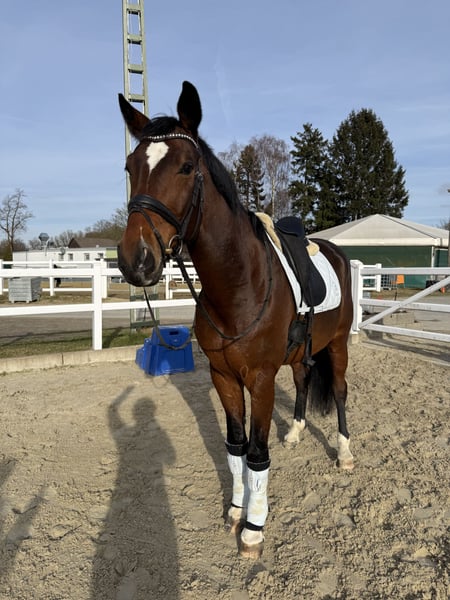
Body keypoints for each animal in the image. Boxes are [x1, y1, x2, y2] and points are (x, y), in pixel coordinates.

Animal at [117, 81, 354, 559]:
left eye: (187, 167)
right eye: (130, 167)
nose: (136, 260)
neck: (239, 283)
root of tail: (337, 251)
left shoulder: (259, 379)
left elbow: (257, 453)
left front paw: (254, 528)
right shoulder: (222, 376)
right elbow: (236, 445)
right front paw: (234, 509)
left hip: (338, 345)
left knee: (338, 392)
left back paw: (343, 453)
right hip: (299, 354)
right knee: (304, 382)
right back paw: (296, 432)